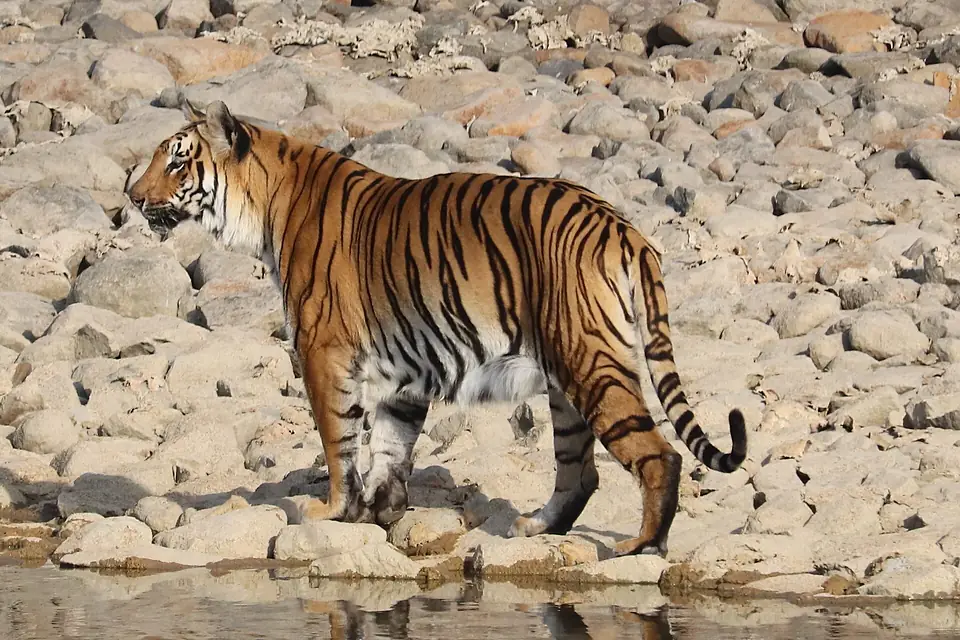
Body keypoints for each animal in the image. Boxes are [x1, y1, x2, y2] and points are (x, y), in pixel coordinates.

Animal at [127, 97, 747, 558]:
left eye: (176, 163)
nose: (132, 198)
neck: (266, 203)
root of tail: (623, 226)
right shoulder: (403, 366)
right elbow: (390, 444)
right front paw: (380, 510)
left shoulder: (323, 350)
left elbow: (337, 439)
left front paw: (332, 509)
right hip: (567, 377)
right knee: (580, 472)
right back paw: (537, 528)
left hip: (589, 362)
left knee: (659, 454)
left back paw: (641, 545)